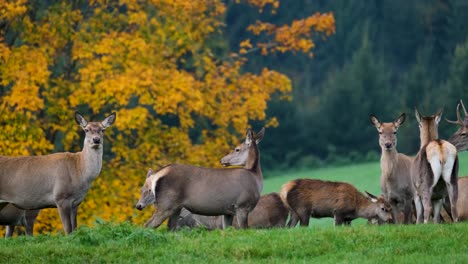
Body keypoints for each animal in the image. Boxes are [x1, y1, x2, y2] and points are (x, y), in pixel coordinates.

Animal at [137, 128, 266, 231]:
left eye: (237, 149)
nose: (222, 160)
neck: (255, 177)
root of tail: (156, 175)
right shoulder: (242, 206)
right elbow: (244, 230)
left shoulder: (228, 211)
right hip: (166, 203)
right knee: (148, 225)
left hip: (176, 207)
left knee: (170, 228)